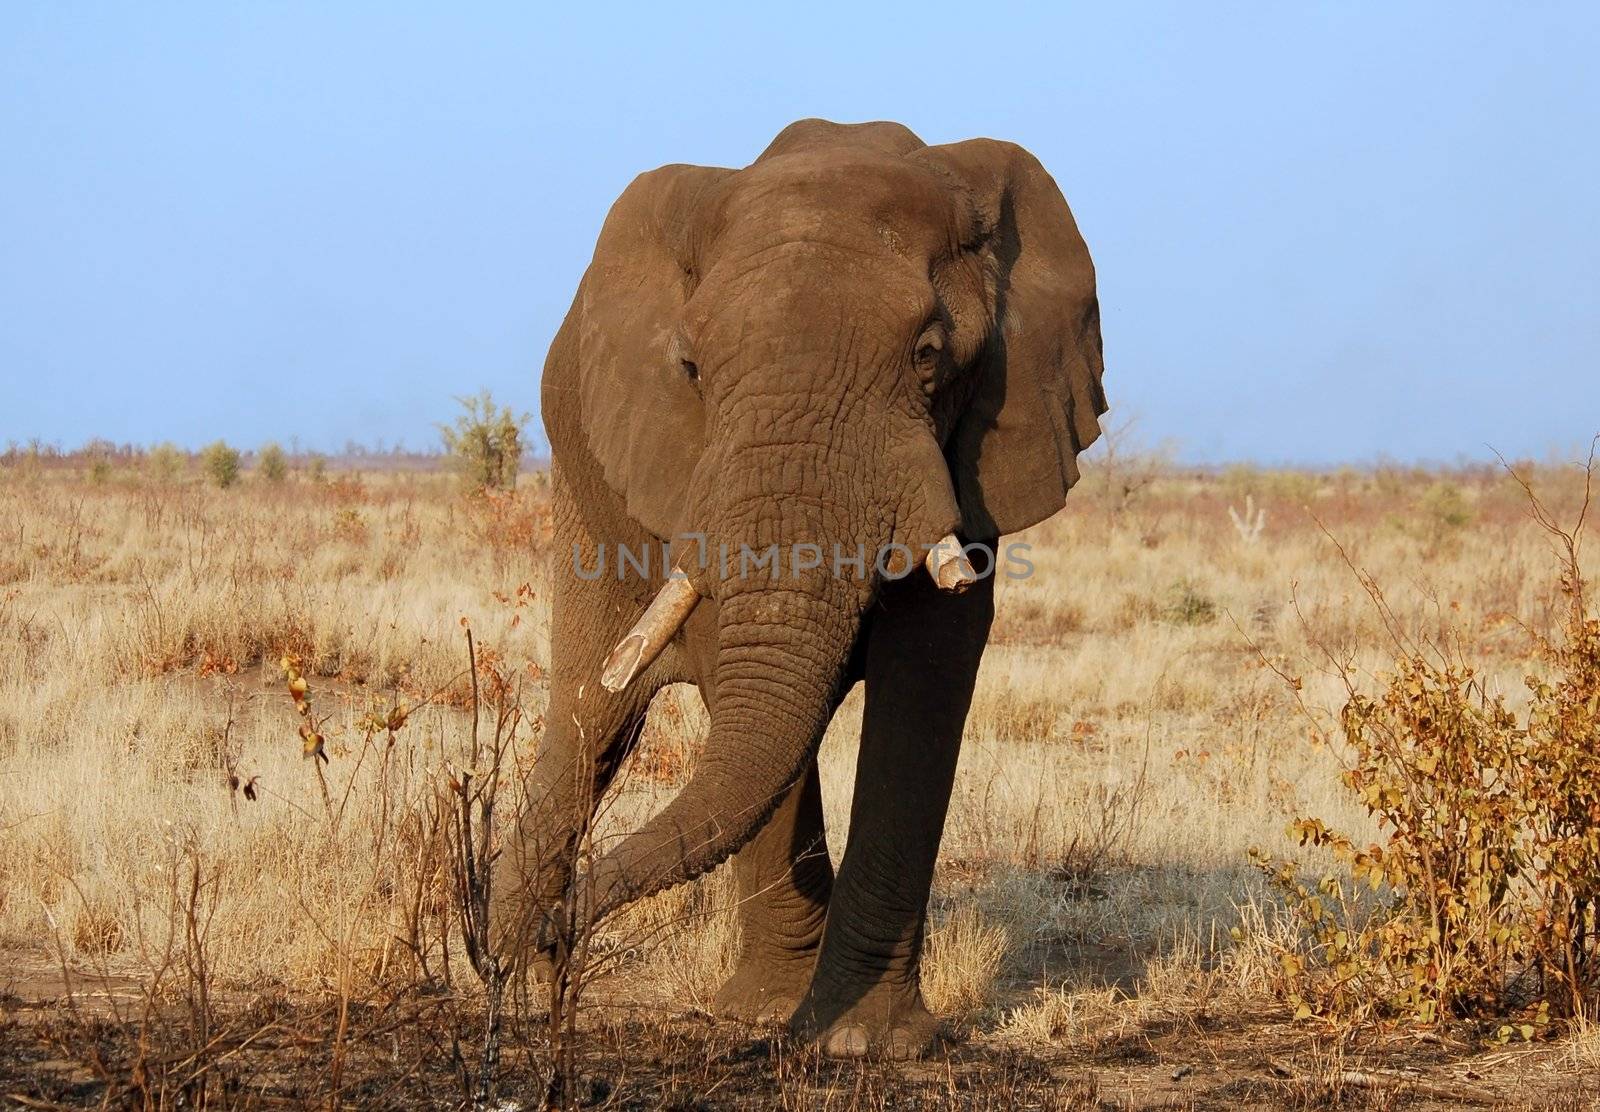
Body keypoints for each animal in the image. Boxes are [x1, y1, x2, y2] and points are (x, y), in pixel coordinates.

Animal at [496, 120, 1100, 1062]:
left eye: (929, 357)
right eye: (692, 368)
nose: (563, 939)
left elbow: (928, 677)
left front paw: (862, 1044)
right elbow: (727, 664)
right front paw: (777, 1021)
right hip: (584, 473)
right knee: (591, 715)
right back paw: (502, 982)